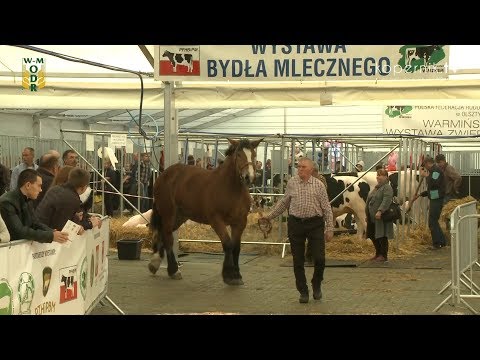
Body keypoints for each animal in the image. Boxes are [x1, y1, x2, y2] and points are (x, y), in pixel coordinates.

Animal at [149, 138, 262, 284]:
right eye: (238, 155)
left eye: (254, 154)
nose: (249, 177)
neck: (231, 189)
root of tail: (164, 175)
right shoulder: (216, 221)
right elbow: (228, 244)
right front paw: (229, 274)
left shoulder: (240, 222)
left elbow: (236, 247)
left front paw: (236, 274)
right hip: (169, 213)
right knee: (168, 237)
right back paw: (173, 270)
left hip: (180, 217)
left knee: (163, 233)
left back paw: (155, 263)